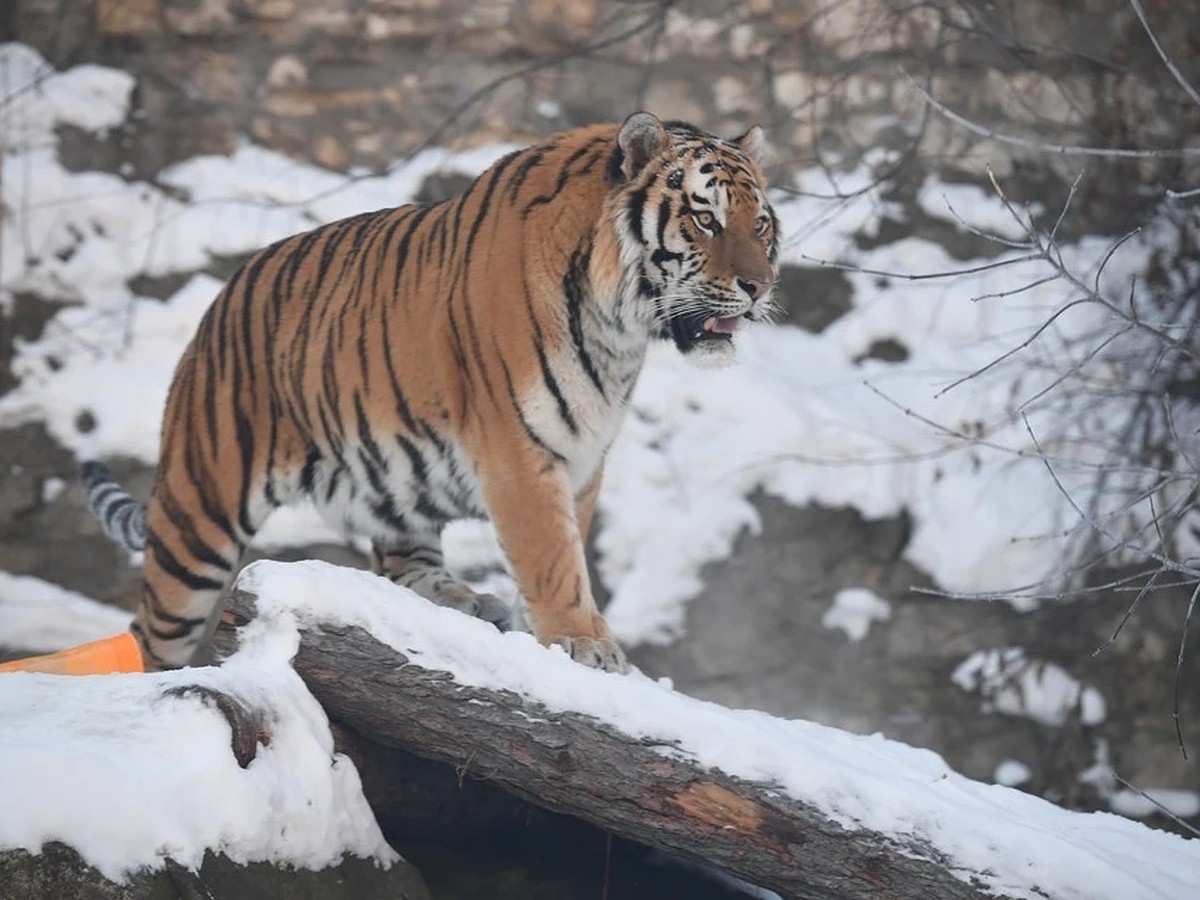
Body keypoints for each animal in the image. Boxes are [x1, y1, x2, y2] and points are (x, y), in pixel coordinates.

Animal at [82, 112, 777, 672]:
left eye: (762, 224)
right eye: (705, 217)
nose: (759, 287)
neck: (620, 330)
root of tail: (222, 297)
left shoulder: (584, 453)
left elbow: (565, 545)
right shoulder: (519, 449)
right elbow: (553, 556)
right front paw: (585, 643)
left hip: (394, 484)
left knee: (401, 563)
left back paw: (465, 601)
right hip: (199, 515)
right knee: (151, 635)